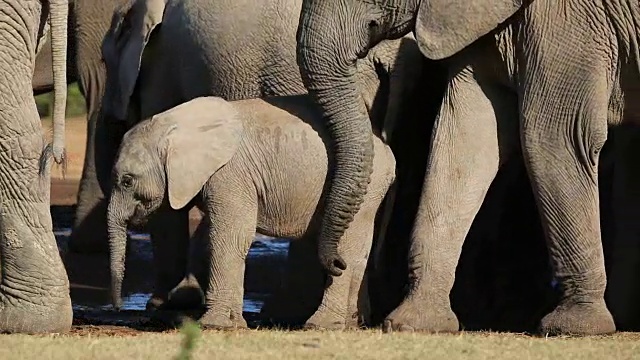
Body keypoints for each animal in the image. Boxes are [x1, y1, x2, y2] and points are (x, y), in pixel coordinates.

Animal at [110, 95, 396, 330]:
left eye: (127, 181)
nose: (118, 308)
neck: (174, 123)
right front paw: (232, 323)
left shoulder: (230, 173)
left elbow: (230, 236)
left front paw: (213, 325)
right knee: (358, 251)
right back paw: (349, 323)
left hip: (370, 185)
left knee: (349, 245)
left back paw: (321, 324)